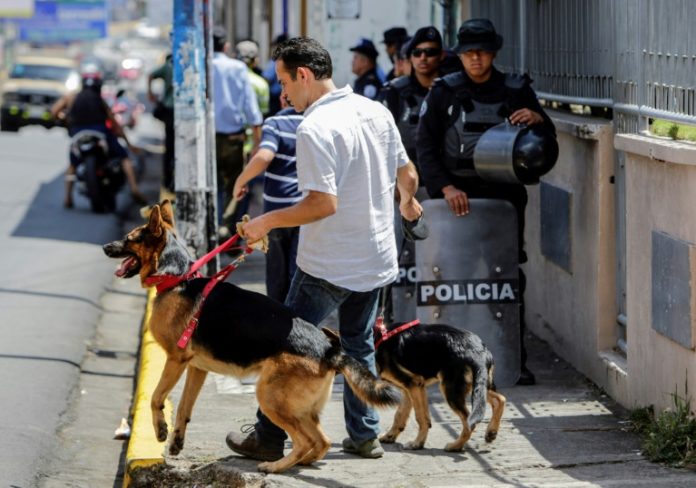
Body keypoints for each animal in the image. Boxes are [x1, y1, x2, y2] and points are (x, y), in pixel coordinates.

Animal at [100, 202, 400, 472]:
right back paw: (302, 462)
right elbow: (184, 408)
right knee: (321, 441)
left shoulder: (176, 359)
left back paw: (275, 466)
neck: (177, 279)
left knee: (306, 440)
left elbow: (155, 397)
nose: (105, 247)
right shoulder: (197, 368)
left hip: (269, 398)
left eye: (130, 238)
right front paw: (175, 442)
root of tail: (330, 349)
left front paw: (161, 430)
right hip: (301, 408)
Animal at [372, 322, 502, 452]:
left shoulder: (414, 384)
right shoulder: (409, 388)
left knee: (469, 420)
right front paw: (390, 436)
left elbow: (421, 418)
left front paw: (417, 443)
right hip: (477, 385)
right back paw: (491, 432)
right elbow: (400, 414)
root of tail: (478, 351)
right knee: (500, 399)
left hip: (451, 390)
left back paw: (456, 446)